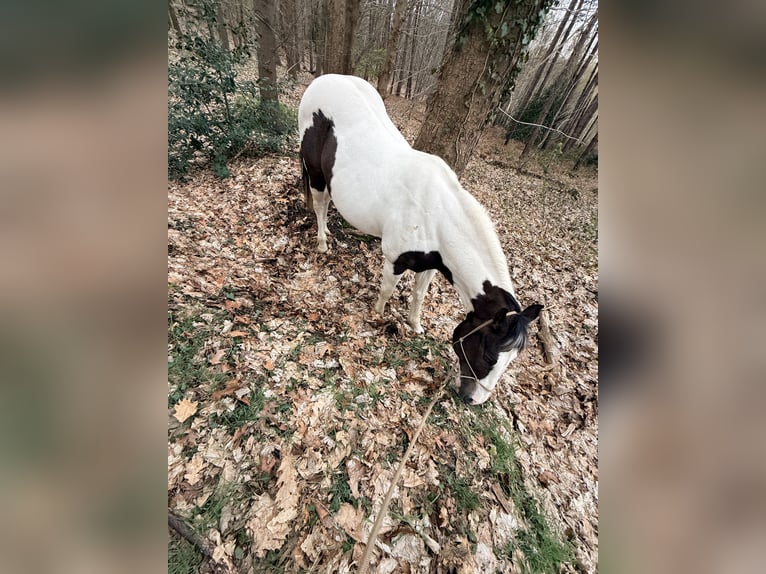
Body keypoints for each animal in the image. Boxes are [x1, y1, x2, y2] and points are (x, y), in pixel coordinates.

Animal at [298, 74, 542, 404]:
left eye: (510, 361)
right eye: (490, 356)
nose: (474, 401)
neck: (434, 213)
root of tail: (322, 80)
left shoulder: (431, 265)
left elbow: (419, 295)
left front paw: (415, 325)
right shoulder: (395, 260)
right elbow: (387, 291)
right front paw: (377, 315)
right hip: (316, 172)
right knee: (321, 204)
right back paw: (323, 242)